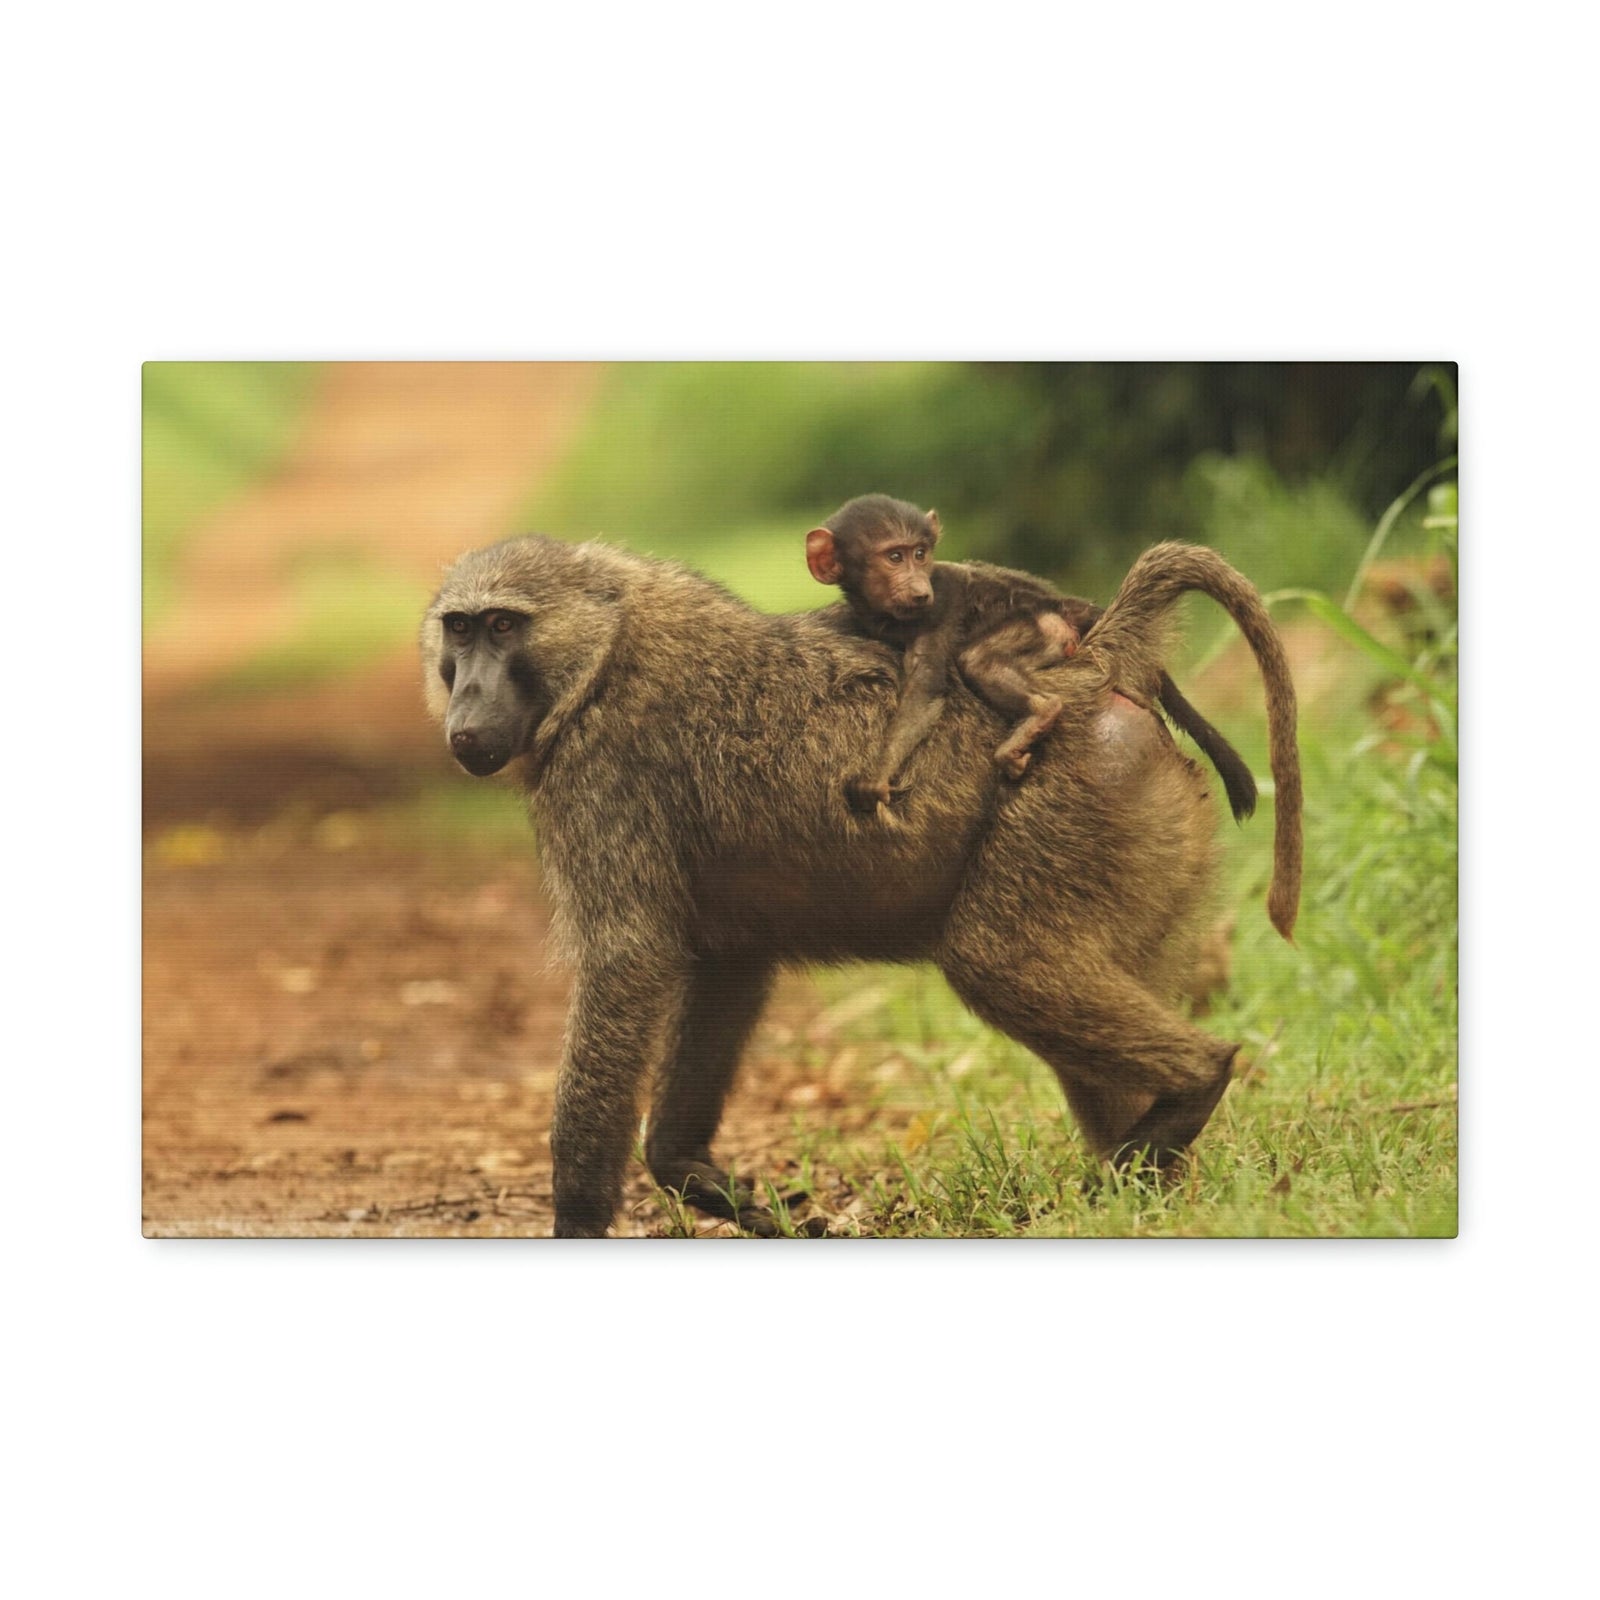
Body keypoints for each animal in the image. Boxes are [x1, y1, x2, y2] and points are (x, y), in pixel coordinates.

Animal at [423, 535, 1300, 1237]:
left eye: (503, 626)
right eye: (458, 630)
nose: (465, 711)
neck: (606, 649)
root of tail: (1097, 665)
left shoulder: (604, 767)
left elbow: (625, 961)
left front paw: (576, 1219)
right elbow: (725, 963)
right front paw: (701, 1179)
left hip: (1077, 797)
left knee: (1000, 963)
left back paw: (1187, 1093)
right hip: (1143, 829)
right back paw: (1157, 1191)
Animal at [806, 494, 1259, 822]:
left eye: (920, 553)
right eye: (894, 557)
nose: (918, 589)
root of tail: (1065, 603)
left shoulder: (940, 608)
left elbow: (924, 691)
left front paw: (876, 777)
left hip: (1047, 628)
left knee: (979, 659)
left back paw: (1040, 712)